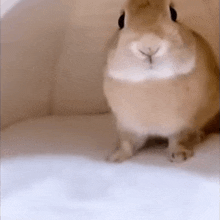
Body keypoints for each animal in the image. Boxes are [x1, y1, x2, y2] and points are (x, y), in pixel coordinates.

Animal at [103, 0, 220, 162]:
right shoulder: (128, 127)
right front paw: (115, 158)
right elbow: (127, 143)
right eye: (121, 20)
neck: (152, 80)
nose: (149, 46)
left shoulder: (183, 125)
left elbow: (178, 139)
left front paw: (179, 156)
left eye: (173, 14)